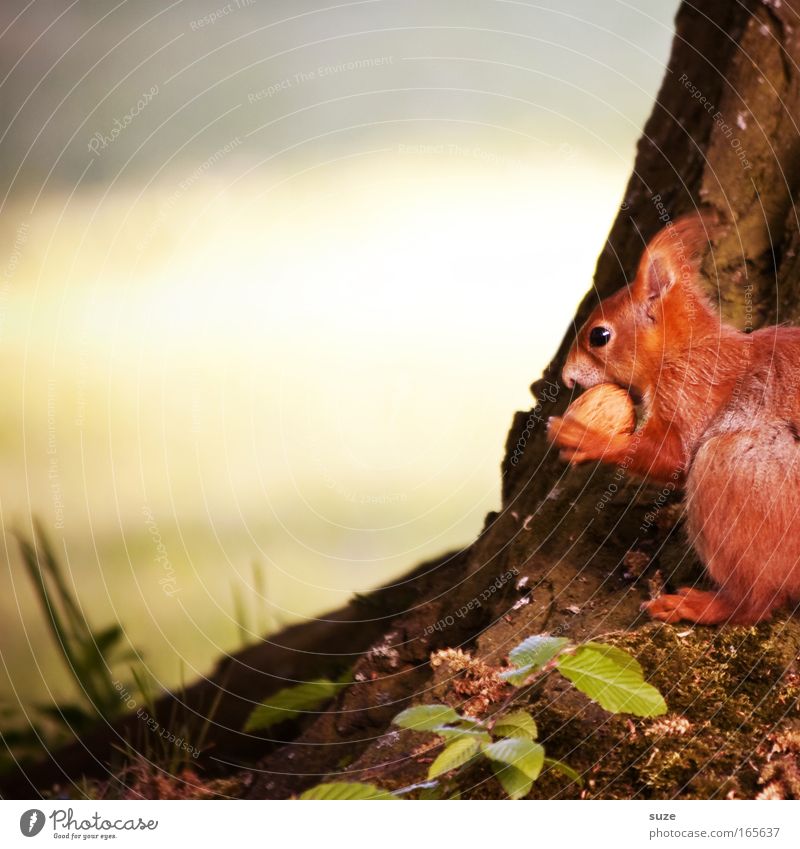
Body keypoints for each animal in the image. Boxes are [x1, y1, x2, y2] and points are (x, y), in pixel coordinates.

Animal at [548, 211, 800, 624]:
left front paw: (586, 438)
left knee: (756, 602)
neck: (684, 350)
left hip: (733, 471)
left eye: (599, 336)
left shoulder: (690, 391)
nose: (567, 377)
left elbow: (673, 457)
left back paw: (699, 605)